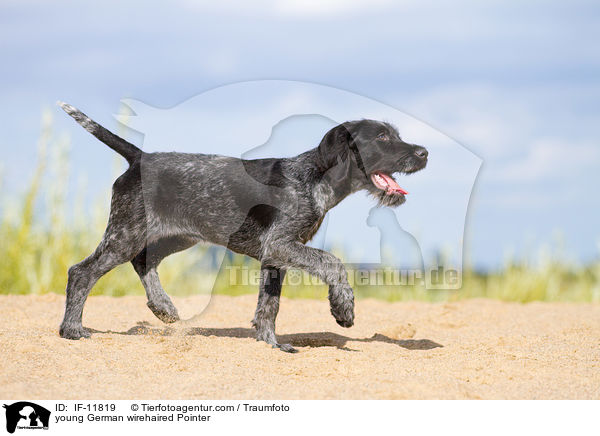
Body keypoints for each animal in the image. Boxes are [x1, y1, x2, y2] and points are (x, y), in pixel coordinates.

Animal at [57, 103, 426, 354]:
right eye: (382, 137)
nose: (424, 152)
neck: (315, 176)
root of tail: (140, 158)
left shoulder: (276, 258)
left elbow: (268, 306)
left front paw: (270, 344)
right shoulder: (280, 245)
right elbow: (332, 262)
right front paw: (343, 308)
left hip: (177, 235)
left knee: (143, 261)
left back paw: (163, 308)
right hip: (127, 233)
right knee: (82, 272)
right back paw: (72, 329)